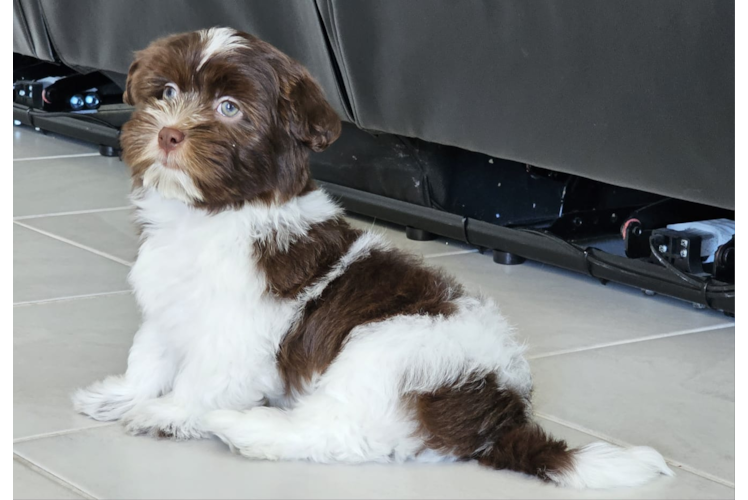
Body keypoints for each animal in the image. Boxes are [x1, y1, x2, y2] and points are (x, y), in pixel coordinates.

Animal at [73, 27, 676, 488]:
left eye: (229, 109)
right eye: (166, 91)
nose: (170, 134)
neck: (212, 214)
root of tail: (500, 410)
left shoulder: (236, 332)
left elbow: (203, 377)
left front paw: (168, 412)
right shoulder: (167, 307)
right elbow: (149, 354)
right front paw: (123, 395)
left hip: (383, 350)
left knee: (342, 433)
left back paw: (247, 428)